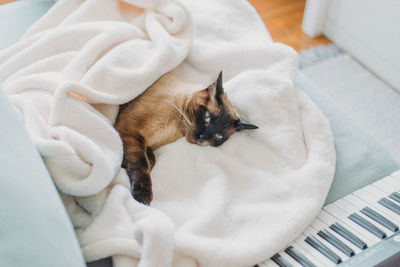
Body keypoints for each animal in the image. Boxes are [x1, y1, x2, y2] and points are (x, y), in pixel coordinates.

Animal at [115, 71, 260, 205]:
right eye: (207, 118)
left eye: (219, 136)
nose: (201, 137)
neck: (176, 126)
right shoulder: (130, 130)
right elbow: (141, 163)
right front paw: (142, 196)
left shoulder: (142, 141)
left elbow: (150, 160)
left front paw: (126, 164)